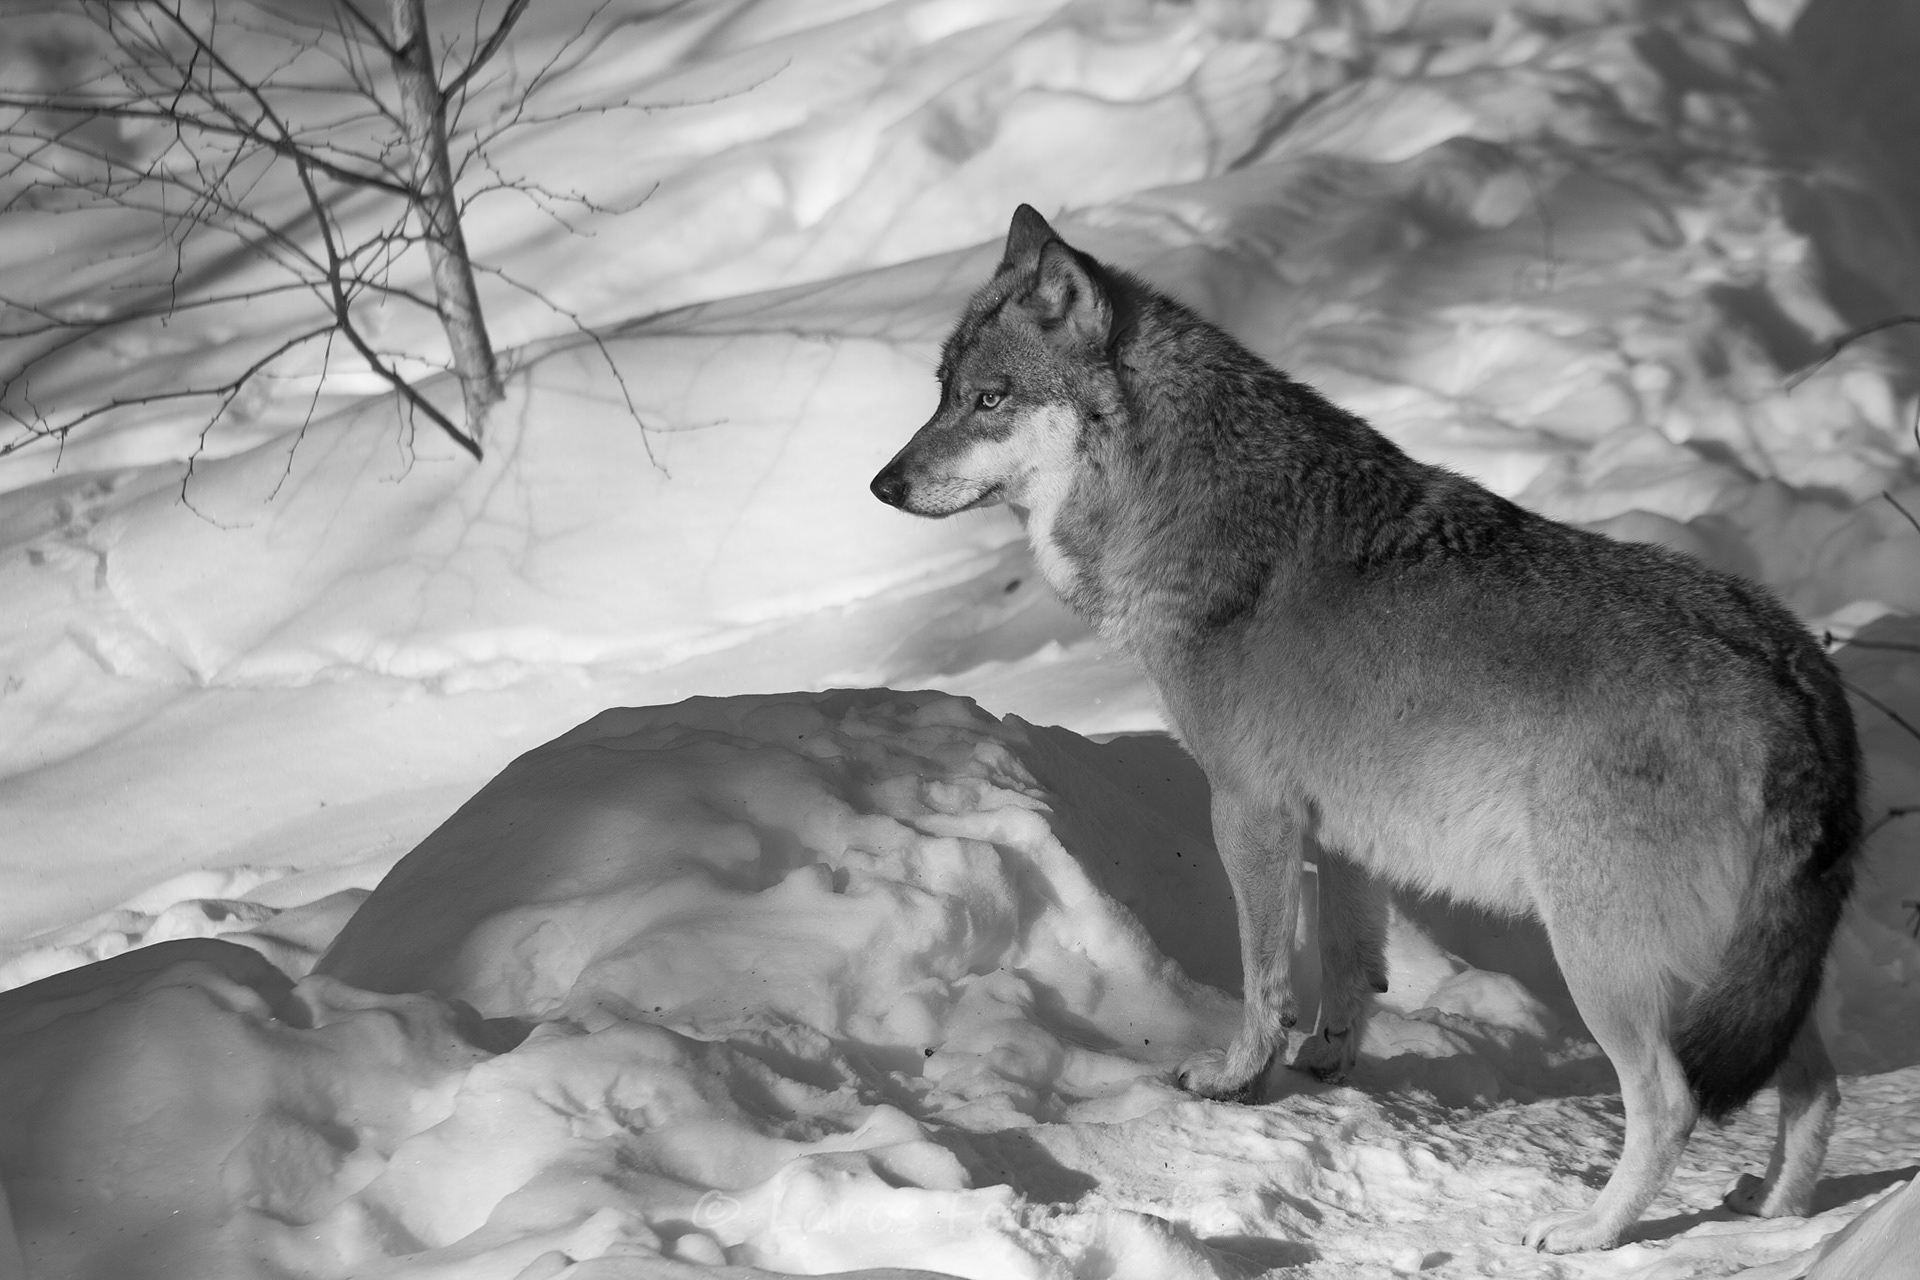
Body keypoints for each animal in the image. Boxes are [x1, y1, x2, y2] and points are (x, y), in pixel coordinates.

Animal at [869, 205, 1861, 1252]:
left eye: (991, 399)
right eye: (944, 394)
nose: (882, 484)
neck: (1191, 513)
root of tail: (1793, 673)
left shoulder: (1248, 810)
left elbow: (1264, 977)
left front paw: (1236, 1080)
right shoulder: (1346, 831)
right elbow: (1348, 968)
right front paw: (1327, 1062)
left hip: (1605, 958)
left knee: (1672, 1103)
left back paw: (1588, 1232)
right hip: (1738, 974)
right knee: (1816, 1086)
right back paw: (1773, 1216)